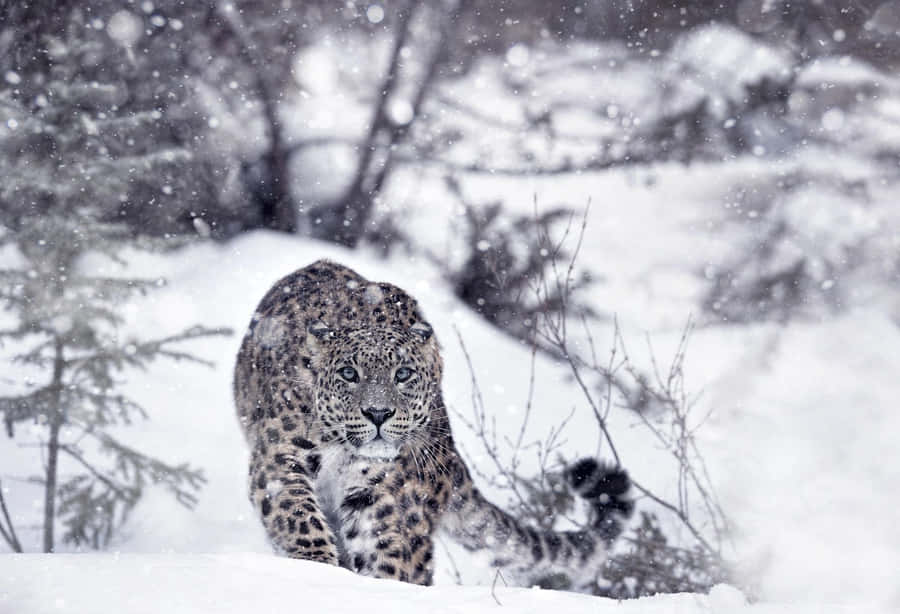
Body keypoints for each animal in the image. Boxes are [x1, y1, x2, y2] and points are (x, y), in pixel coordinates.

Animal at [233, 259, 632, 590]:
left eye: (403, 374)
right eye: (348, 373)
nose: (378, 413)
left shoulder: (381, 492)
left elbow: (386, 551)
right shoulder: (279, 457)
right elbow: (297, 515)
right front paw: (315, 565)